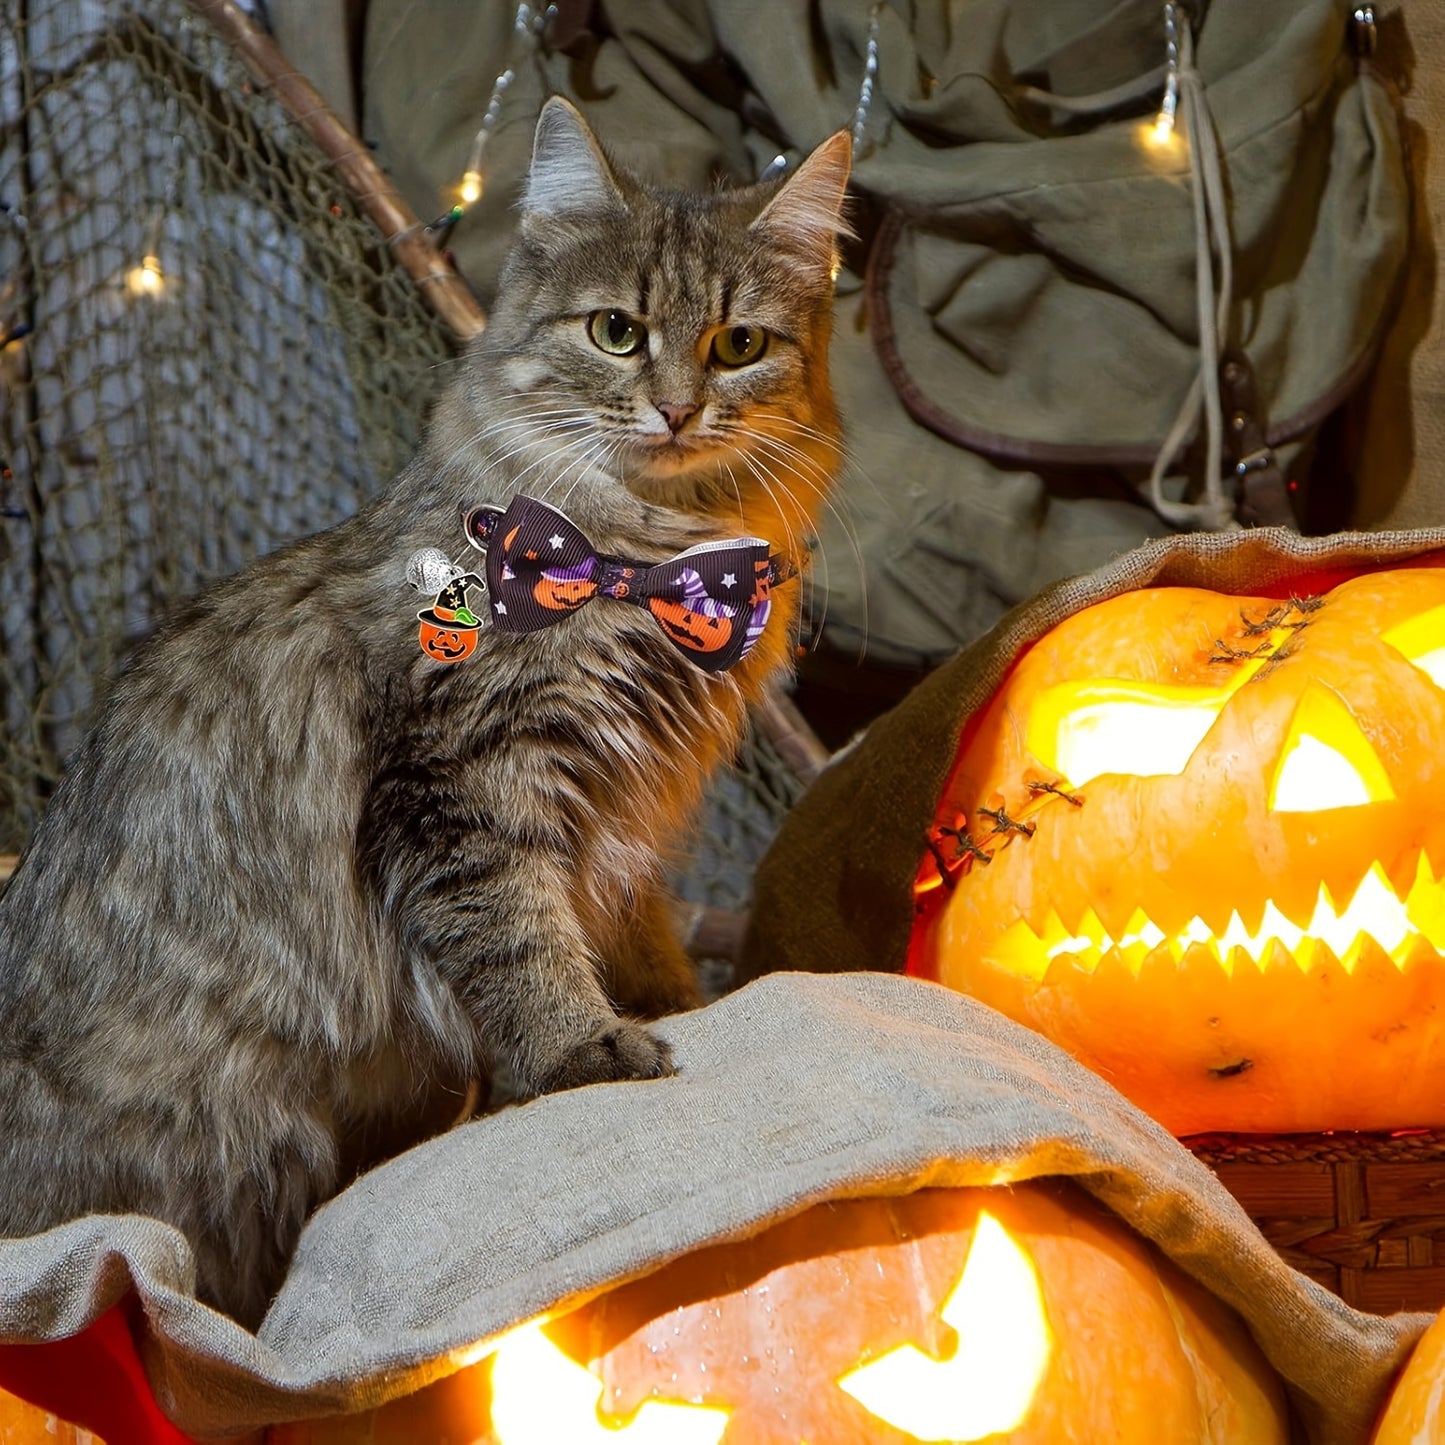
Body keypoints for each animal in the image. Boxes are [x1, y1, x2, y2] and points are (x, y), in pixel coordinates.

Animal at [0, 98, 843, 1323]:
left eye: (738, 346)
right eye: (616, 332)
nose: (676, 410)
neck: (641, 557)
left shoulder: (622, 826)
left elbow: (629, 943)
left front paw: (672, 1010)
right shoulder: (460, 785)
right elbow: (521, 938)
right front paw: (586, 1049)